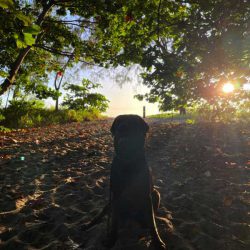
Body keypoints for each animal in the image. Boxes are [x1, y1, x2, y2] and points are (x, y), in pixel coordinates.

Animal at [81, 114, 166, 249]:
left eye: (134, 123)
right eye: (119, 123)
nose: (123, 127)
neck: (128, 161)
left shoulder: (146, 195)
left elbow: (152, 223)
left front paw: (157, 241)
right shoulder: (115, 196)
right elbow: (114, 222)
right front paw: (111, 239)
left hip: (155, 193)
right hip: (110, 203)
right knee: (102, 215)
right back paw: (89, 224)